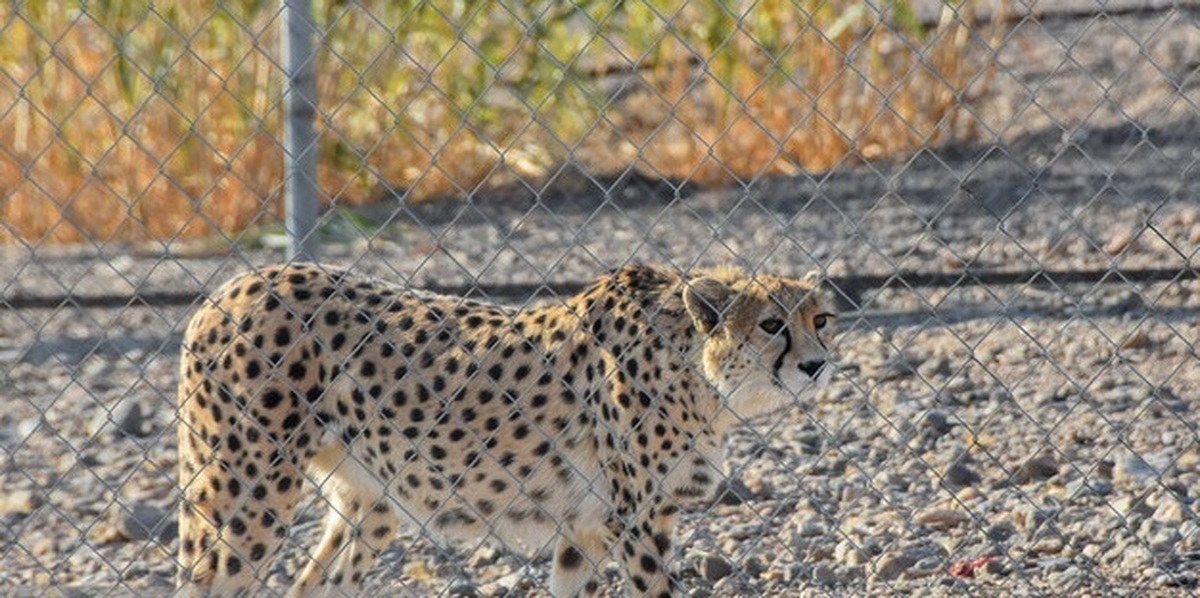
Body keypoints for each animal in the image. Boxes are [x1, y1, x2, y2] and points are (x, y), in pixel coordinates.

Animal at [175, 264, 835, 595]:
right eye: (772, 324)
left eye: (821, 319)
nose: (816, 365)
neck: (697, 370)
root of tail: (232, 285)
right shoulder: (637, 521)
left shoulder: (585, 527)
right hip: (251, 496)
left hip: (371, 500)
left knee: (314, 584)